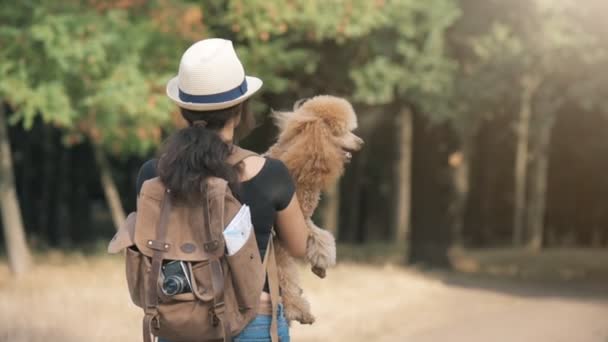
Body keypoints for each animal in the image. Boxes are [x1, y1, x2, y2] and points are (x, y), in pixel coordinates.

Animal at [264, 95, 360, 324]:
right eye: (340, 130)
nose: (361, 142)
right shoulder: (282, 234)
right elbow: (287, 272)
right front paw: (296, 309)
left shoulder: (303, 218)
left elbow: (321, 236)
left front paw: (320, 264)